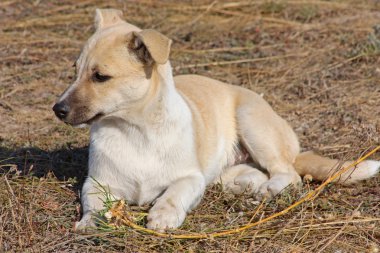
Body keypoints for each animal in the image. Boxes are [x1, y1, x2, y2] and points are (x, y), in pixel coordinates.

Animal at [51, 8, 380, 230]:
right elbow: (92, 203)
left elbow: (174, 194)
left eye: (100, 77)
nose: (58, 109)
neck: (135, 130)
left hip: (251, 122)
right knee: (254, 173)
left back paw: (270, 188)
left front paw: (163, 215)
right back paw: (246, 186)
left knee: (288, 174)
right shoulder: (97, 182)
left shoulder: (190, 178)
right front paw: (90, 223)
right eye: (74, 70)